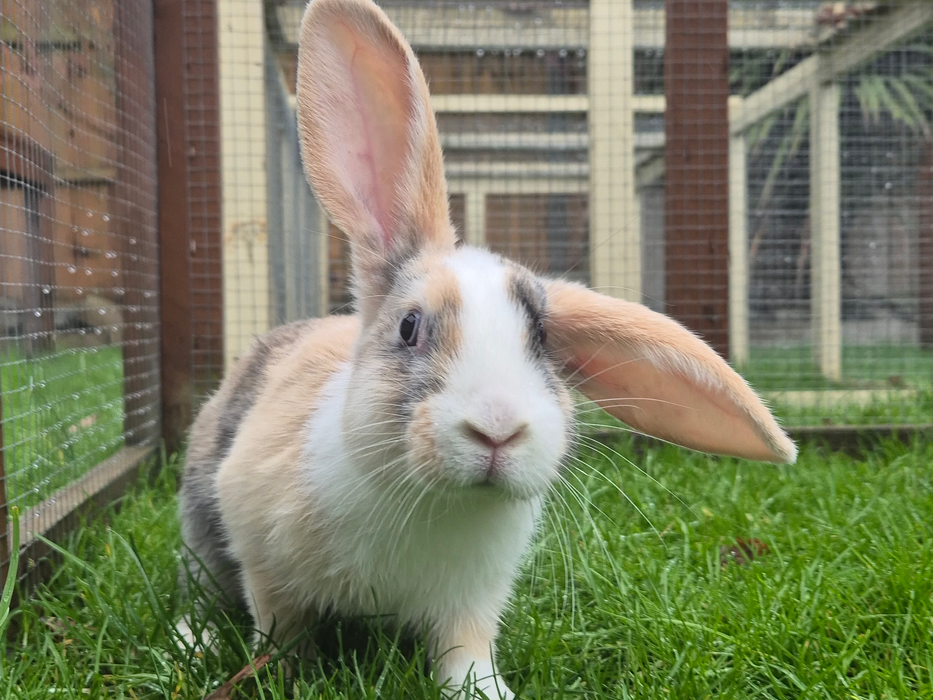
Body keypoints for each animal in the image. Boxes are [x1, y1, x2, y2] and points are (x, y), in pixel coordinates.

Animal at [177, 0, 798, 696]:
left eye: (543, 342)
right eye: (409, 327)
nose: (498, 429)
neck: (433, 501)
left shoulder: (471, 602)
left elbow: (463, 653)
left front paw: (488, 690)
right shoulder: (263, 559)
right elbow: (279, 631)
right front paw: (286, 679)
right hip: (199, 518)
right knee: (199, 591)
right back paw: (194, 642)